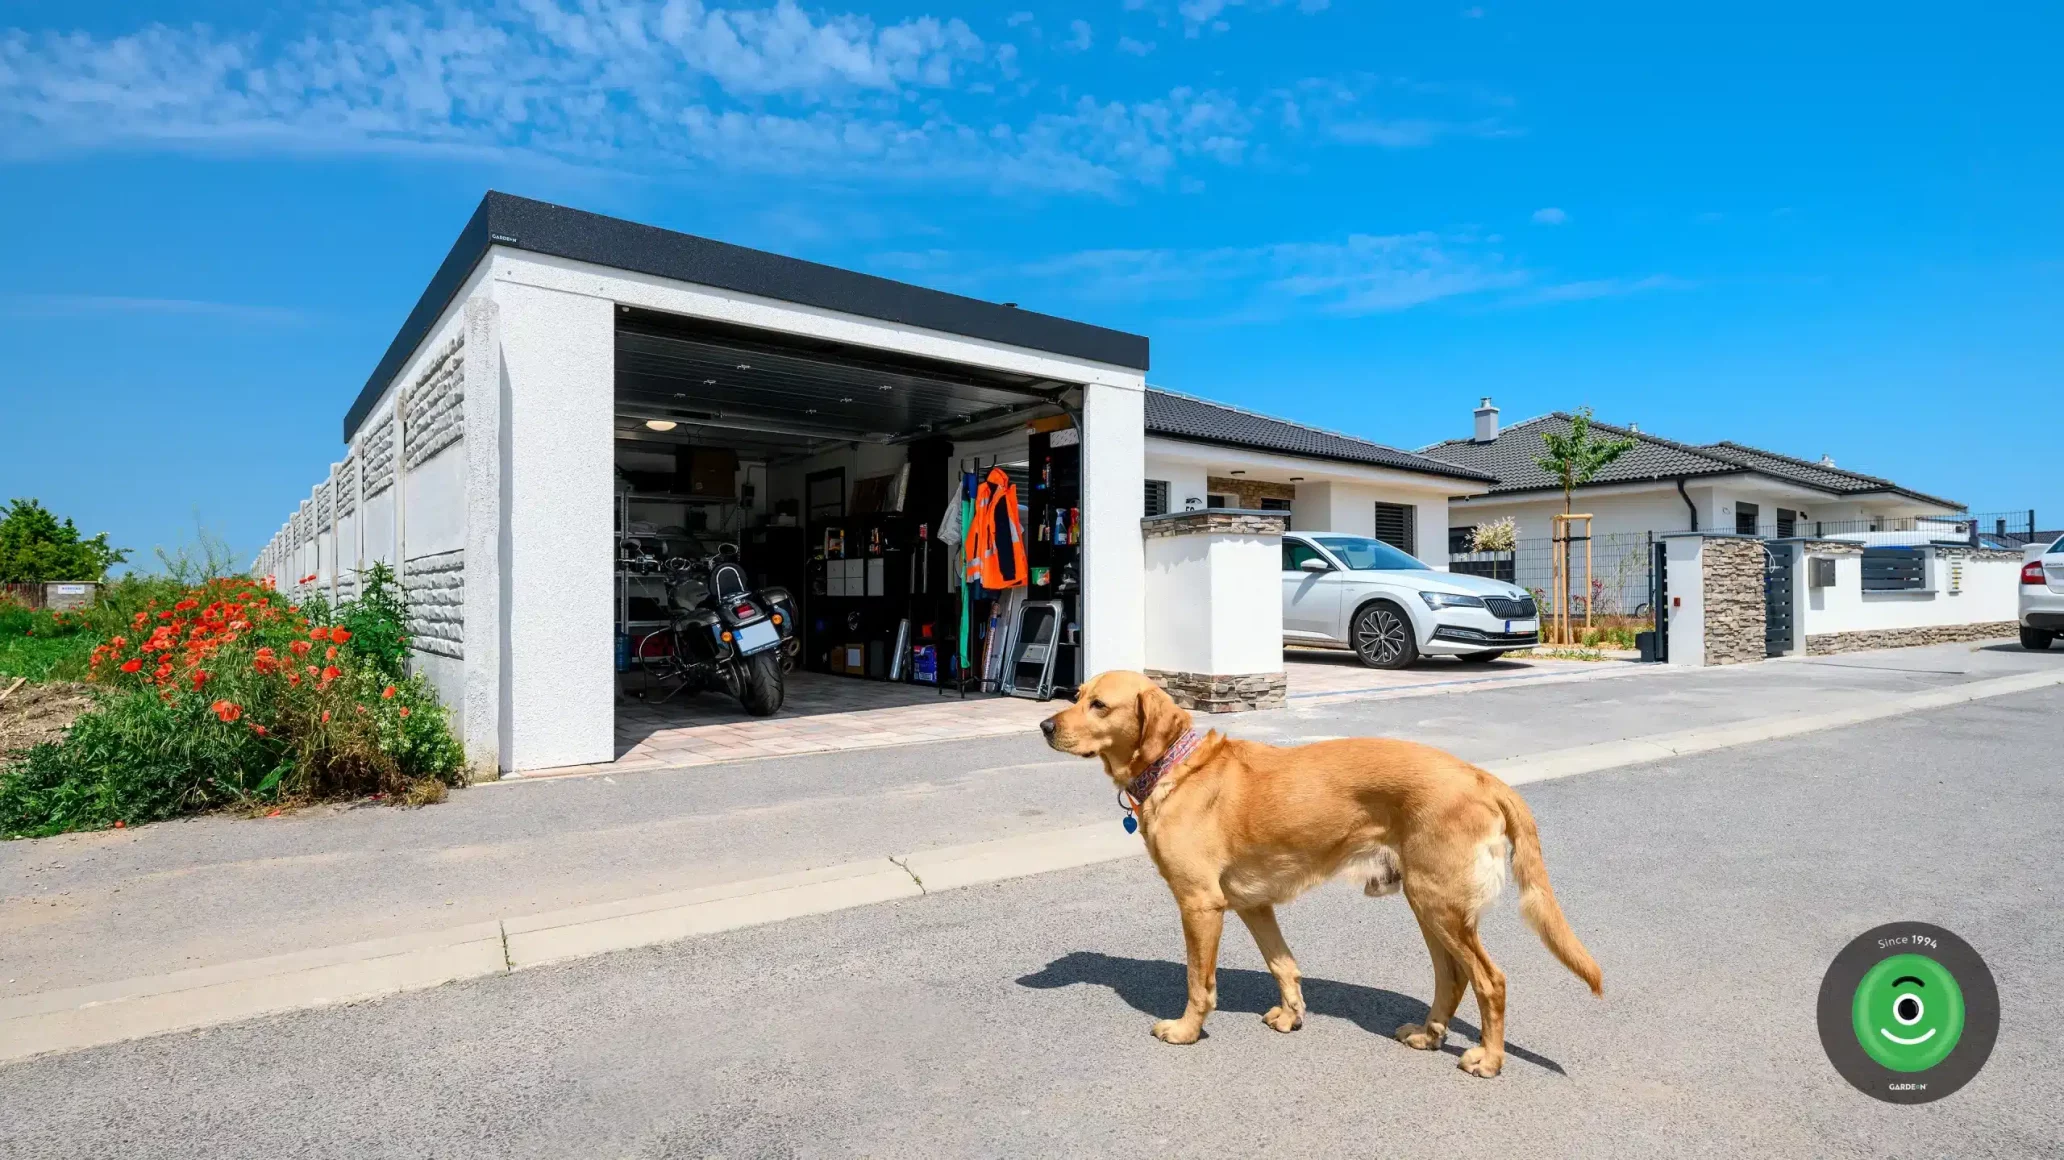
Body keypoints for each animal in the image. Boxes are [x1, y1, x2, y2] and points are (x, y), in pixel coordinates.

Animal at [1040, 668, 1601, 1073]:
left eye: (1099, 705)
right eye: (1077, 694)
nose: (1045, 725)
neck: (1175, 768)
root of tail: (1481, 776)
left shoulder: (1200, 904)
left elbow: (1199, 982)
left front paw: (1185, 1031)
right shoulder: (1253, 905)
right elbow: (1283, 965)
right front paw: (1291, 1015)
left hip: (1439, 904)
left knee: (1490, 980)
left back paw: (1489, 1059)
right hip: (1429, 904)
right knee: (1453, 977)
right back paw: (1428, 1034)